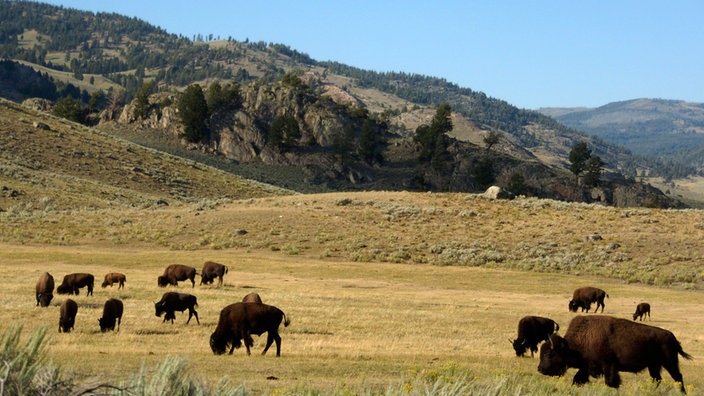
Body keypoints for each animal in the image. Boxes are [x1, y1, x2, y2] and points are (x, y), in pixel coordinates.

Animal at [536, 316, 692, 392]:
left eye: (549, 354)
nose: (540, 369)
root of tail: (671, 336)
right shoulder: (587, 366)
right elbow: (577, 379)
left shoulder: (608, 365)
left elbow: (611, 382)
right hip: (654, 365)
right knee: (657, 379)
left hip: (669, 362)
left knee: (678, 377)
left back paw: (683, 392)